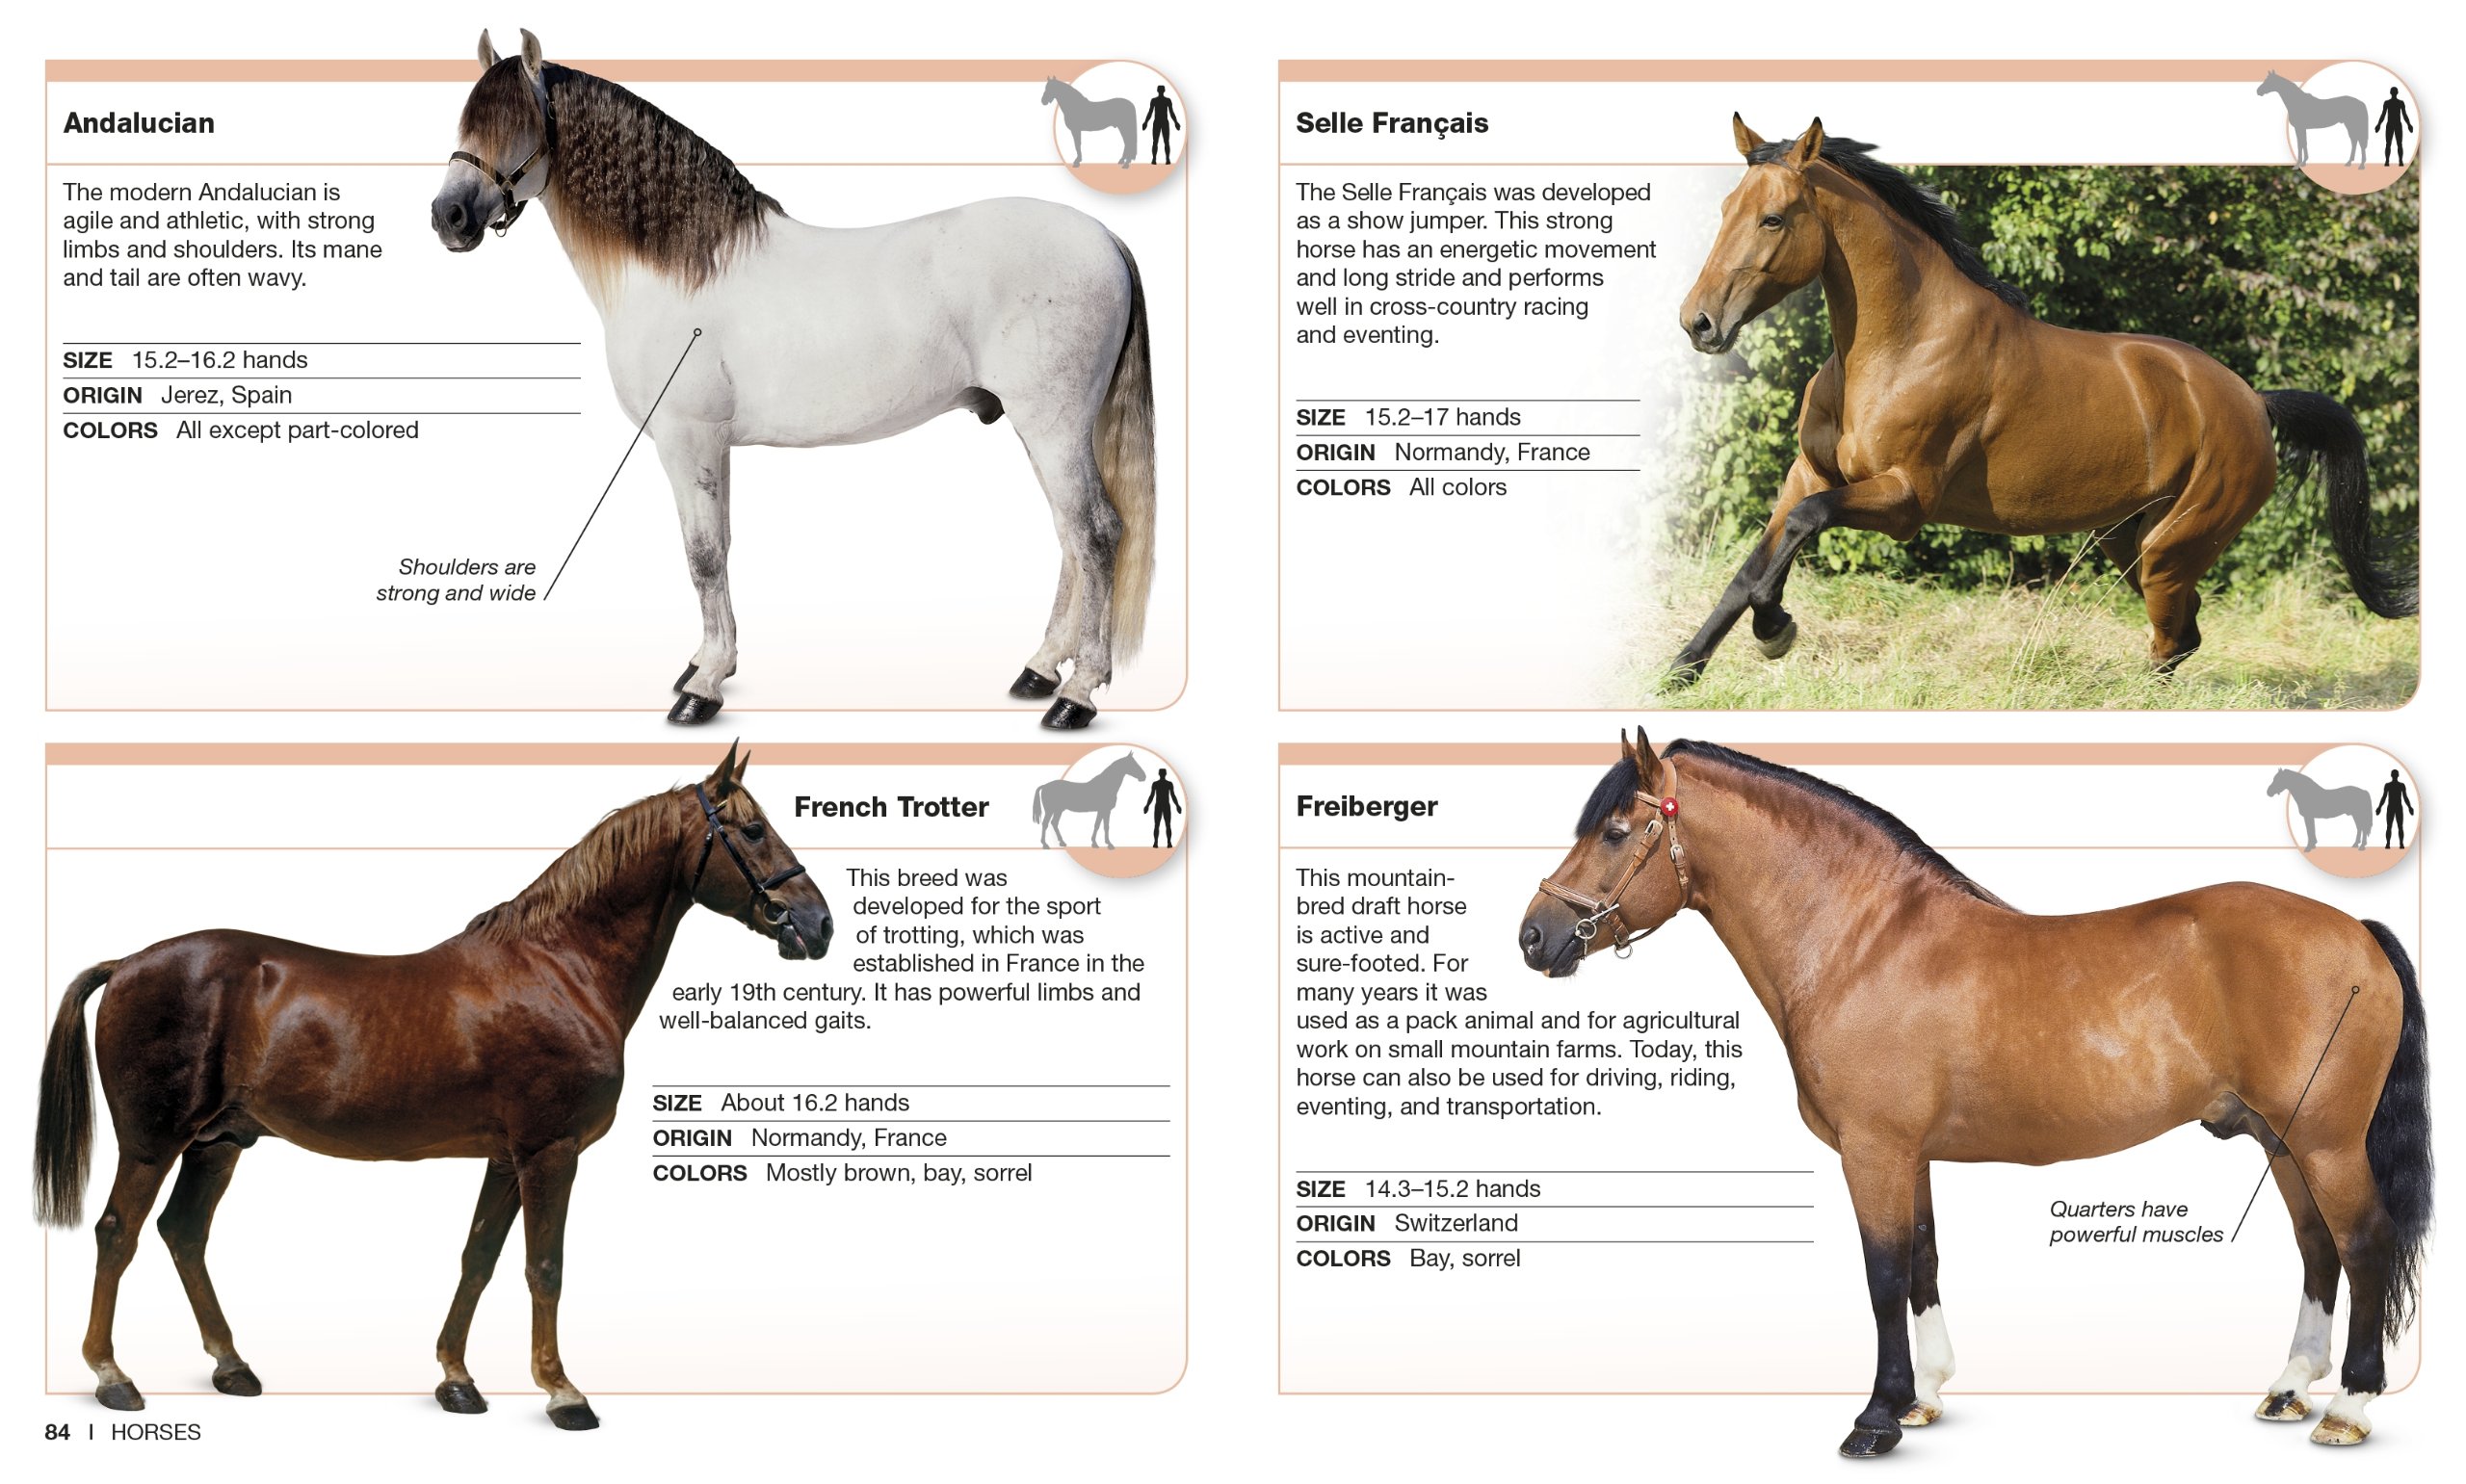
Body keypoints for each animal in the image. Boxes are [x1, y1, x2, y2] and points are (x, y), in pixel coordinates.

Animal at [33, 745, 831, 1430]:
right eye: (753, 829)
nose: (818, 924)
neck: (561, 967)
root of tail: (128, 963)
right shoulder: (551, 1151)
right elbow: (545, 1266)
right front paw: (563, 1392)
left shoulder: (507, 1156)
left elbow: (478, 1258)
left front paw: (457, 1379)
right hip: (153, 1141)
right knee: (118, 1232)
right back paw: (113, 1376)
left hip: (220, 1140)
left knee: (183, 1233)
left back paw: (232, 1365)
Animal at [432, 32, 1156, 730]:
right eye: (467, 120)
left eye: (517, 123)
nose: (449, 217)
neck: (681, 268)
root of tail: (1105, 238)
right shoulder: (702, 447)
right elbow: (714, 547)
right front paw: (705, 662)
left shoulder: (689, 439)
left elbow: (704, 554)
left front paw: (703, 686)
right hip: (1041, 431)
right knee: (1069, 538)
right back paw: (1039, 670)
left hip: (1054, 428)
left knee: (1095, 535)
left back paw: (1077, 696)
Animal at [1520, 730, 2430, 1457]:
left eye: (1613, 830)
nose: (1534, 936)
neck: (1863, 942)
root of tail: (2357, 931)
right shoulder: (1908, 1154)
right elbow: (1922, 1258)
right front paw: (1923, 1396)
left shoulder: (1873, 1150)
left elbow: (1882, 1271)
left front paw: (1875, 1418)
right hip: (2281, 1141)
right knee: (2317, 1247)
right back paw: (2289, 1387)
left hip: (2324, 1142)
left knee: (2364, 1242)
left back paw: (2348, 1407)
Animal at [1669, 117, 2414, 686]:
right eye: (1725, 210)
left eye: (1772, 218)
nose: (1698, 322)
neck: (1902, 345)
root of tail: (2255, 403)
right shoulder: (1811, 472)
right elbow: (1753, 564)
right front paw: (1684, 667)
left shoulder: (1906, 498)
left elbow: (1804, 526)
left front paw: (1774, 629)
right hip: (2130, 542)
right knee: (2183, 634)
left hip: (2171, 549)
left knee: (2172, 638)